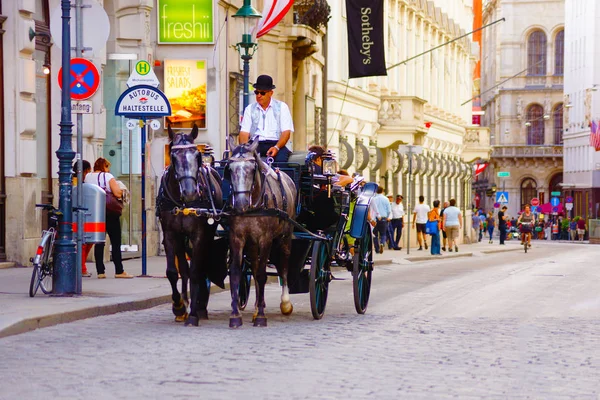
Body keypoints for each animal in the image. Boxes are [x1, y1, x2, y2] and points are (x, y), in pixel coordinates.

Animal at [157, 124, 225, 324]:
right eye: (173, 156)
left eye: (197, 156)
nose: (189, 192)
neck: (183, 204)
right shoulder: (170, 234)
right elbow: (173, 272)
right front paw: (179, 306)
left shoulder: (199, 235)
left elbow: (196, 270)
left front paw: (193, 313)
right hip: (181, 239)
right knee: (184, 269)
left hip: (207, 235)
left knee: (198, 267)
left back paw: (199, 306)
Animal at [225, 139, 298, 326]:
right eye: (230, 169)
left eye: (252, 169)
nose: (240, 203)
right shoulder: (237, 238)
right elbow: (236, 272)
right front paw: (235, 315)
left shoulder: (265, 239)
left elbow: (261, 274)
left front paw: (261, 316)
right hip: (252, 243)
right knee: (256, 264)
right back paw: (258, 305)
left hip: (285, 236)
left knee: (283, 265)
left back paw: (285, 303)